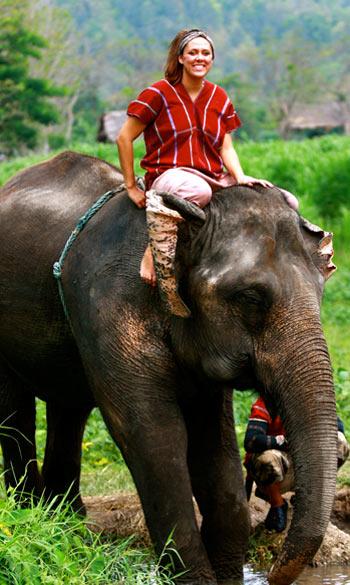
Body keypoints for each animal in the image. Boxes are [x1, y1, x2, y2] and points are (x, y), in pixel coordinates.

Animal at [0, 152, 340, 584]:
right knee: (16, 412)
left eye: (321, 289)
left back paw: (67, 524)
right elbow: (156, 435)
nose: (272, 571)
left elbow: (215, 445)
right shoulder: (108, 308)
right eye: (250, 297)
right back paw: (32, 512)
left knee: (69, 409)